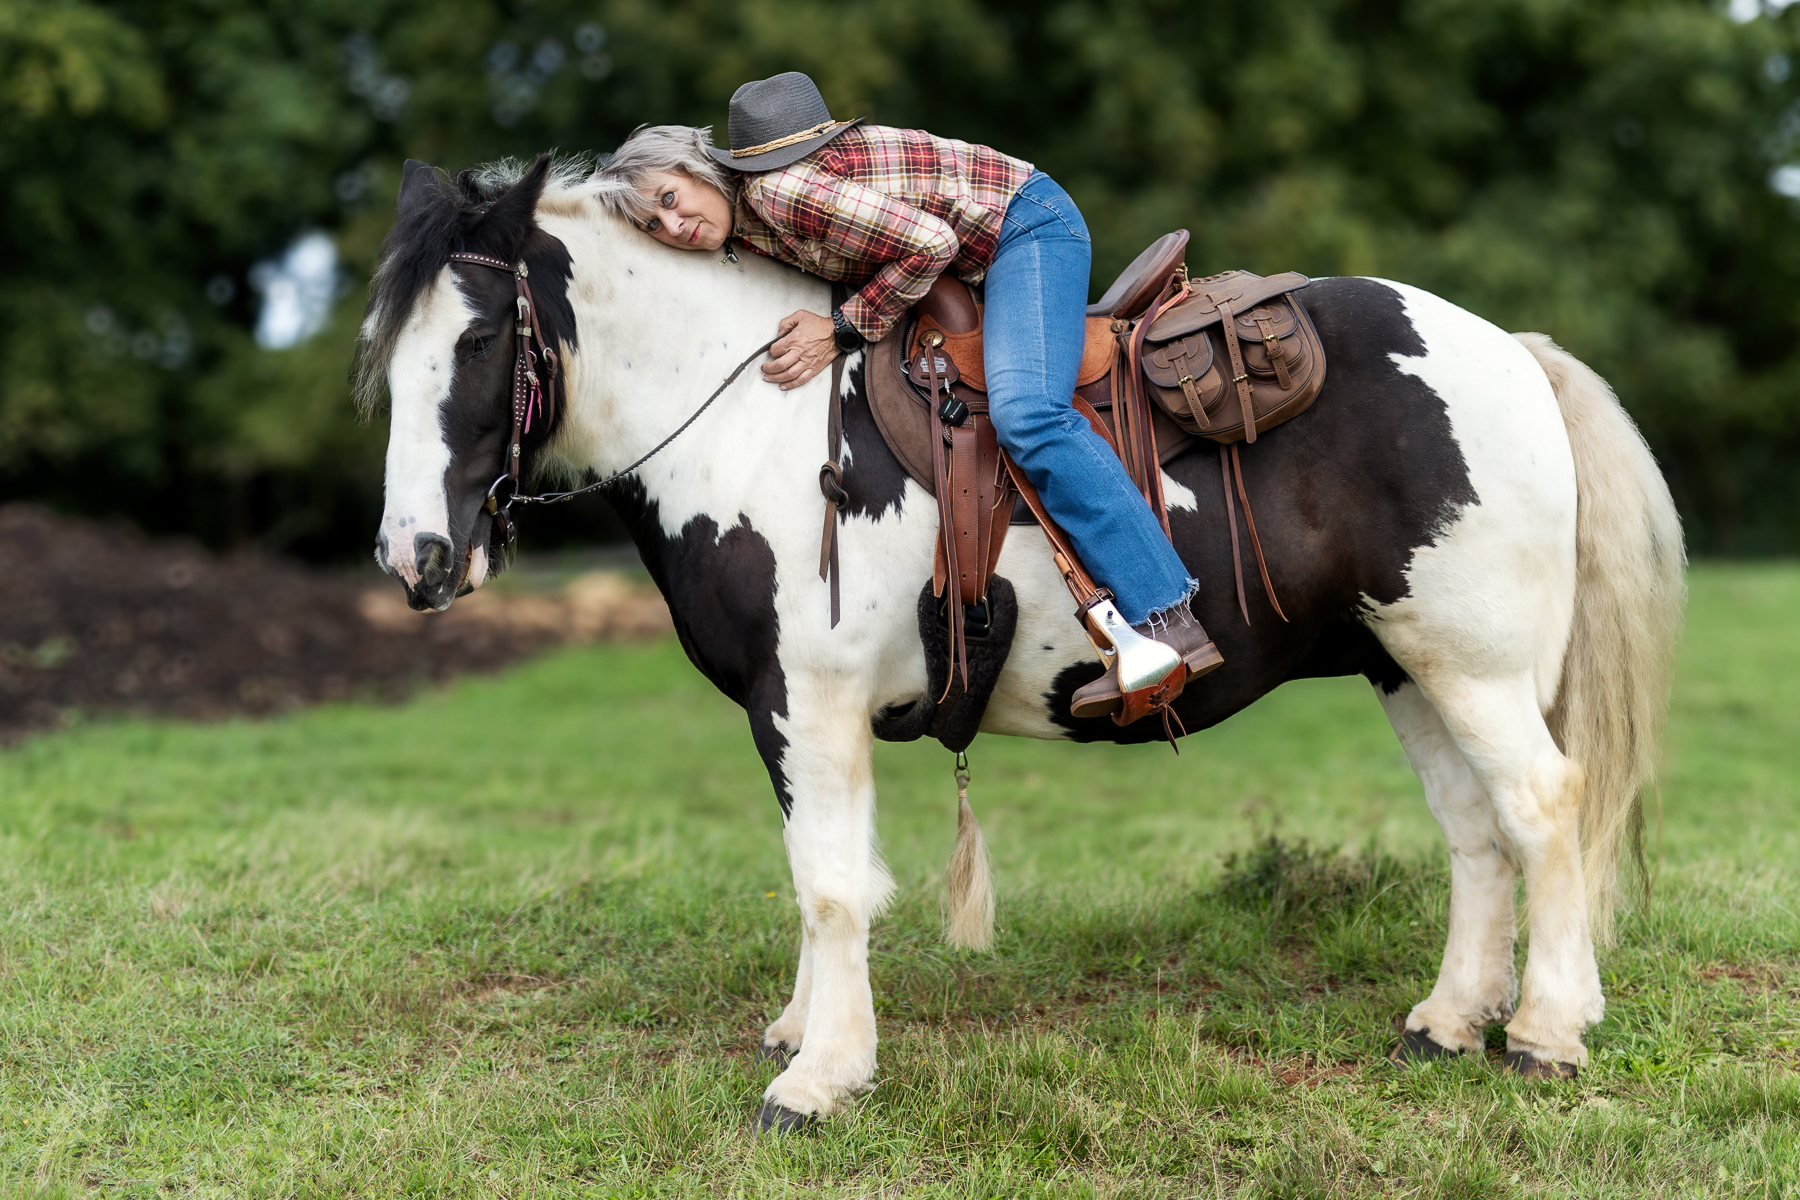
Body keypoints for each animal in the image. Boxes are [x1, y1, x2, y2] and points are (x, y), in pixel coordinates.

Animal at [357, 154, 1685, 1131]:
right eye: (385, 357)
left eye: (478, 341)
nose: (415, 559)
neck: (761, 419)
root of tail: (1517, 355)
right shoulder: (785, 716)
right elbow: (815, 876)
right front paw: (803, 1031)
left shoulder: (812, 700)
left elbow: (830, 884)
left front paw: (817, 1080)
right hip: (1406, 664)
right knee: (1475, 833)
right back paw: (1449, 1021)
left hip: (1476, 666)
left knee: (1542, 808)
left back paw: (1546, 1033)